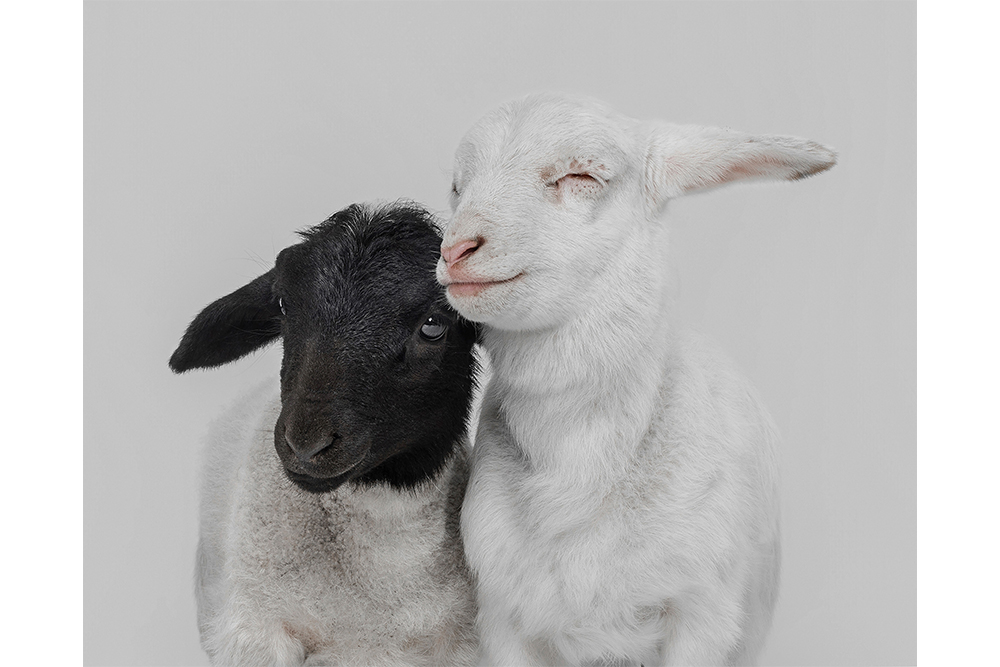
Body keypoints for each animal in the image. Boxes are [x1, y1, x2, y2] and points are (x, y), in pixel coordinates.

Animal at [436, 93, 836, 666]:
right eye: (458, 186)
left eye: (582, 175)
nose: (455, 250)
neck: (578, 472)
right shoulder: (502, 619)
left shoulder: (703, 616)